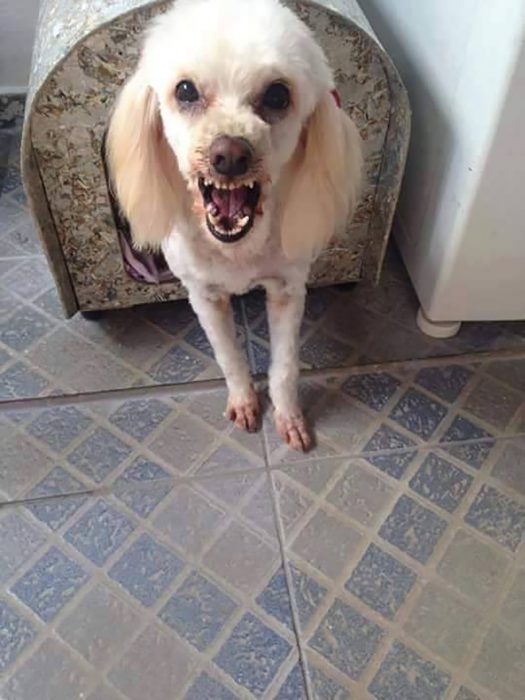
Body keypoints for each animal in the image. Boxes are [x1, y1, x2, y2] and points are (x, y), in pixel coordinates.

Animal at [106, 0, 360, 452]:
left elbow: (285, 366)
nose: (229, 155)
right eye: (185, 90)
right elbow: (229, 357)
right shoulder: (205, 296)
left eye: (278, 94)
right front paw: (244, 401)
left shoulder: (288, 290)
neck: (238, 250)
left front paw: (288, 416)